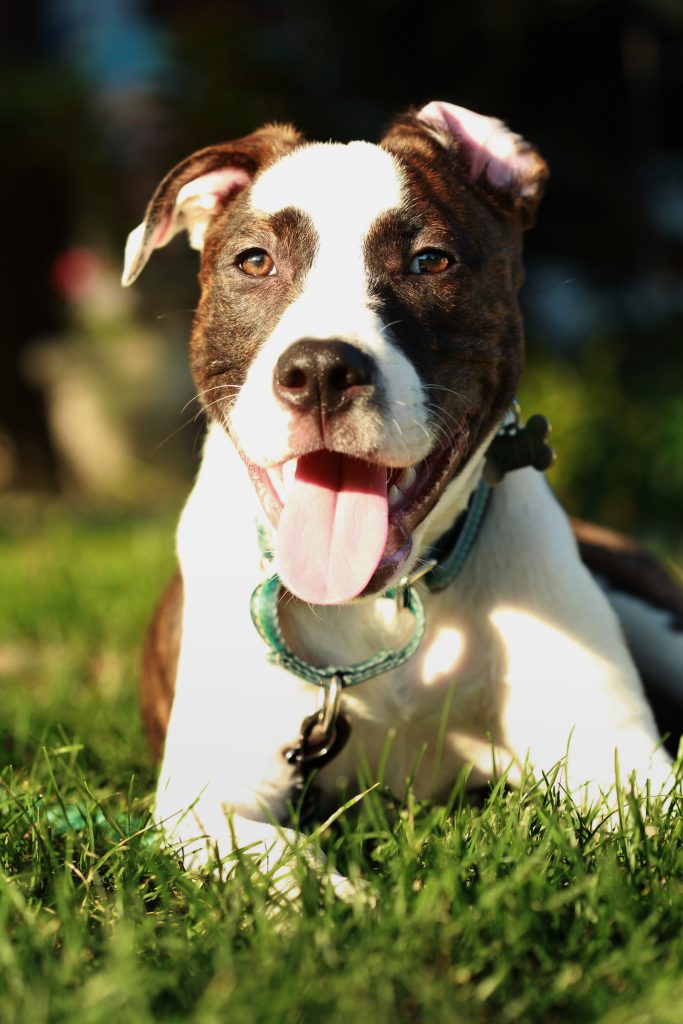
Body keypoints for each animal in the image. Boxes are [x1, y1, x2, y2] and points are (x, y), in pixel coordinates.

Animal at [122, 99, 683, 892]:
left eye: (430, 261)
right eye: (255, 261)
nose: (321, 371)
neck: (383, 605)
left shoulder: (625, 764)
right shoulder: (205, 802)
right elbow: (288, 864)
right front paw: (344, 907)